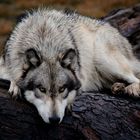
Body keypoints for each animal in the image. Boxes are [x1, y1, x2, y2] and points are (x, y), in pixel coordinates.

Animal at [0, 8, 140, 123]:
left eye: (62, 89)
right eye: (42, 89)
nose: (54, 119)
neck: (46, 44)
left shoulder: (80, 78)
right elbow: (12, 75)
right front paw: (15, 85)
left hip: (105, 60)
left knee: (135, 78)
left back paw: (131, 89)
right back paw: (118, 87)